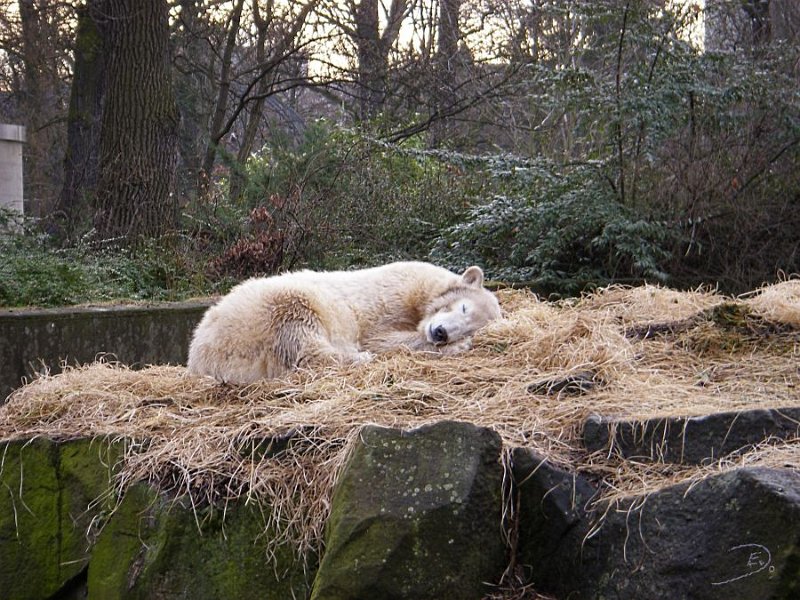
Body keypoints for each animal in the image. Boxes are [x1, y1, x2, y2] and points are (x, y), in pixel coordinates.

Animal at [187, 262, 500, 384]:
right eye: (462, 307)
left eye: (470, 323)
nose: (441, 333)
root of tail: (199, 352)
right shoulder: (394, 293)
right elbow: (380, 338)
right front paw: (457, 347)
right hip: (268, 307)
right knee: (301, 334)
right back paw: (358, 356)